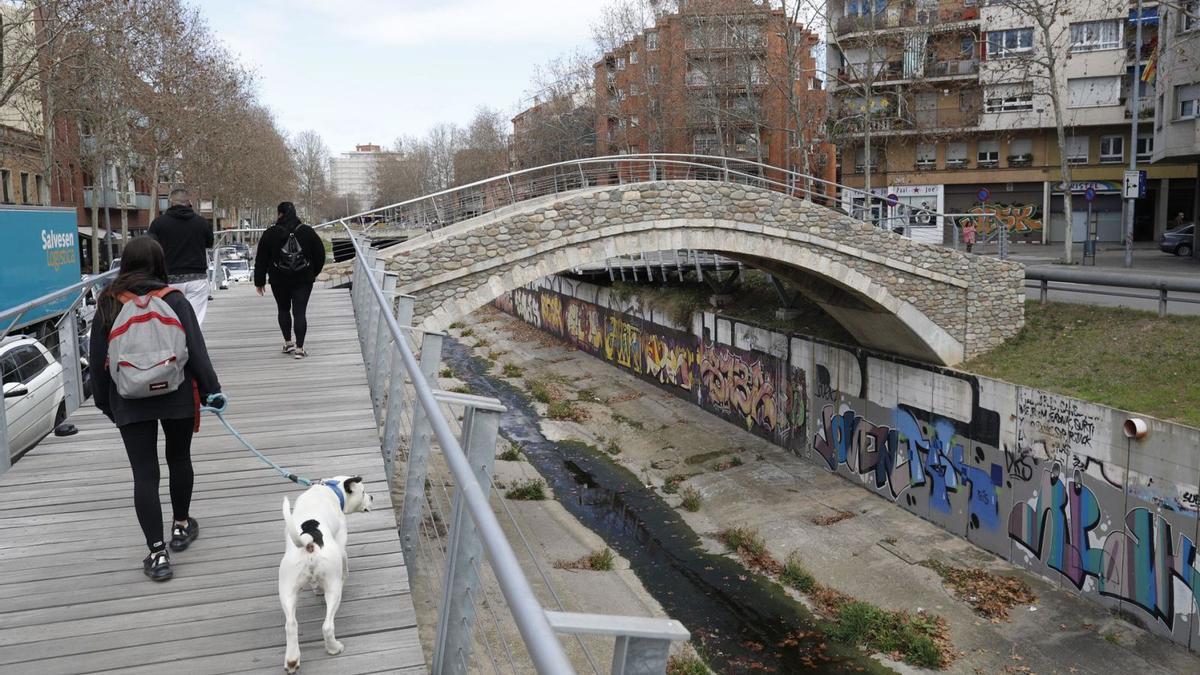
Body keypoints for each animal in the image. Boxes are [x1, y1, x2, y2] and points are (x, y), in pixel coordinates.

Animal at [278, 475, 372, 667]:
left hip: (286, 588)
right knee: (327, 626)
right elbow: (345, 561)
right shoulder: (341, 542)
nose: (372, 497)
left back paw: (292, 660)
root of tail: (309, 541)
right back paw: (334, 648)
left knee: (291, 625)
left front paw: (316, 588)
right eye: (364, 492)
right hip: (333, 588)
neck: (331, 489)